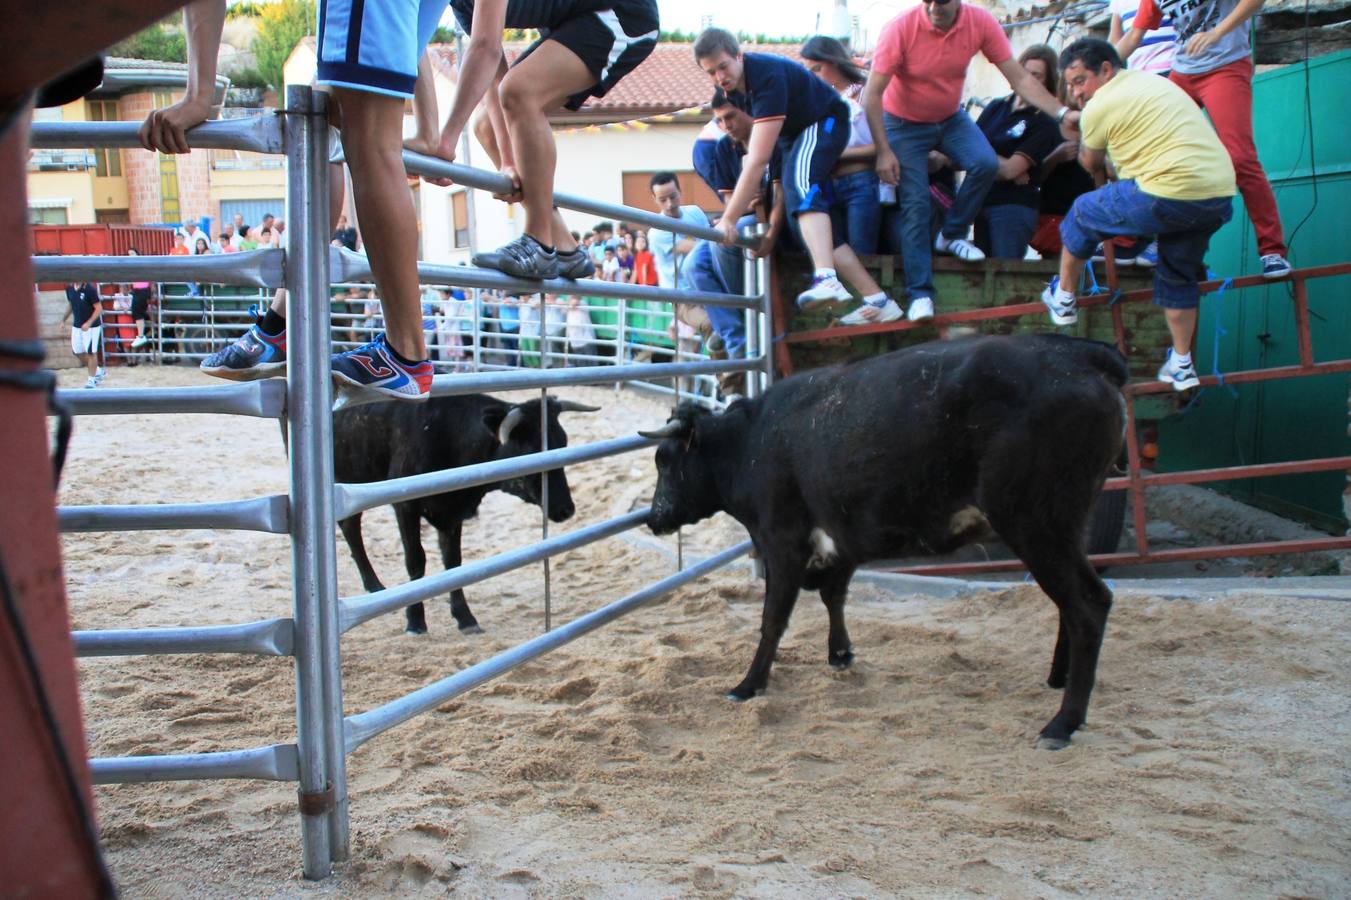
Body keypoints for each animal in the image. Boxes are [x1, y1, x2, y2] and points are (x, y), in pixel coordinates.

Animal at [643, 332, 1129, 745]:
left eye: (664, 459)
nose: (654, 517)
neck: (751, 442)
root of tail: (1081, 353)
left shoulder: (783, 542)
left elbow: (773, 620)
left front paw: (748, 684)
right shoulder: (843, 538)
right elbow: (834, 597)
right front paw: (840, 653)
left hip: (1037, 525)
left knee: (1088, 604)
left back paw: (1063, 722)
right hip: (1065, 529)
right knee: (1070, 604)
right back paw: (1059, 680)